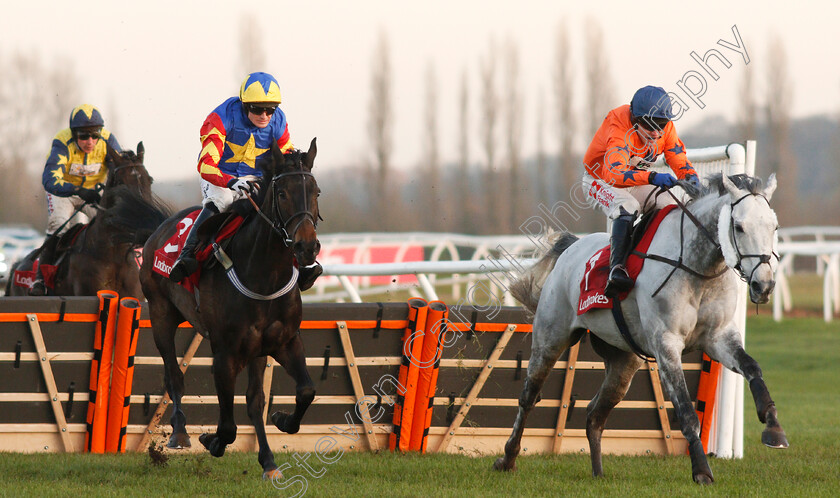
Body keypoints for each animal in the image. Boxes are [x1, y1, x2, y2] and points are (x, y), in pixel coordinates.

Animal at [138, 139, 322, 478]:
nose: (306, 247)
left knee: (252, 398)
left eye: (316, 192)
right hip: (160, 314)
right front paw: (211, 440)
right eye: (281, 193)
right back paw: (180, 433)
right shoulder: (225, 353)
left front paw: (277, 435)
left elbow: (298, 392)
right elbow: (227, 426)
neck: (263, 275)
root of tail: (162, 226)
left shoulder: (283, 342)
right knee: (173, 375)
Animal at [492, 174, 788, 482]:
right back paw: (508, 458)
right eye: (739, 227)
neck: (697, 269)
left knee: (594, 414)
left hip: (623, 362)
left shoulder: (719, 337)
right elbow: (686, 411)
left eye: (774, 226)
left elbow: (753, 368)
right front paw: (701, 471)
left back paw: (598, 472)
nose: (764, 285)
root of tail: (571, 248)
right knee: (528, 397)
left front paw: (773, 428)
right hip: (550, 338)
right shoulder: (666, 345)